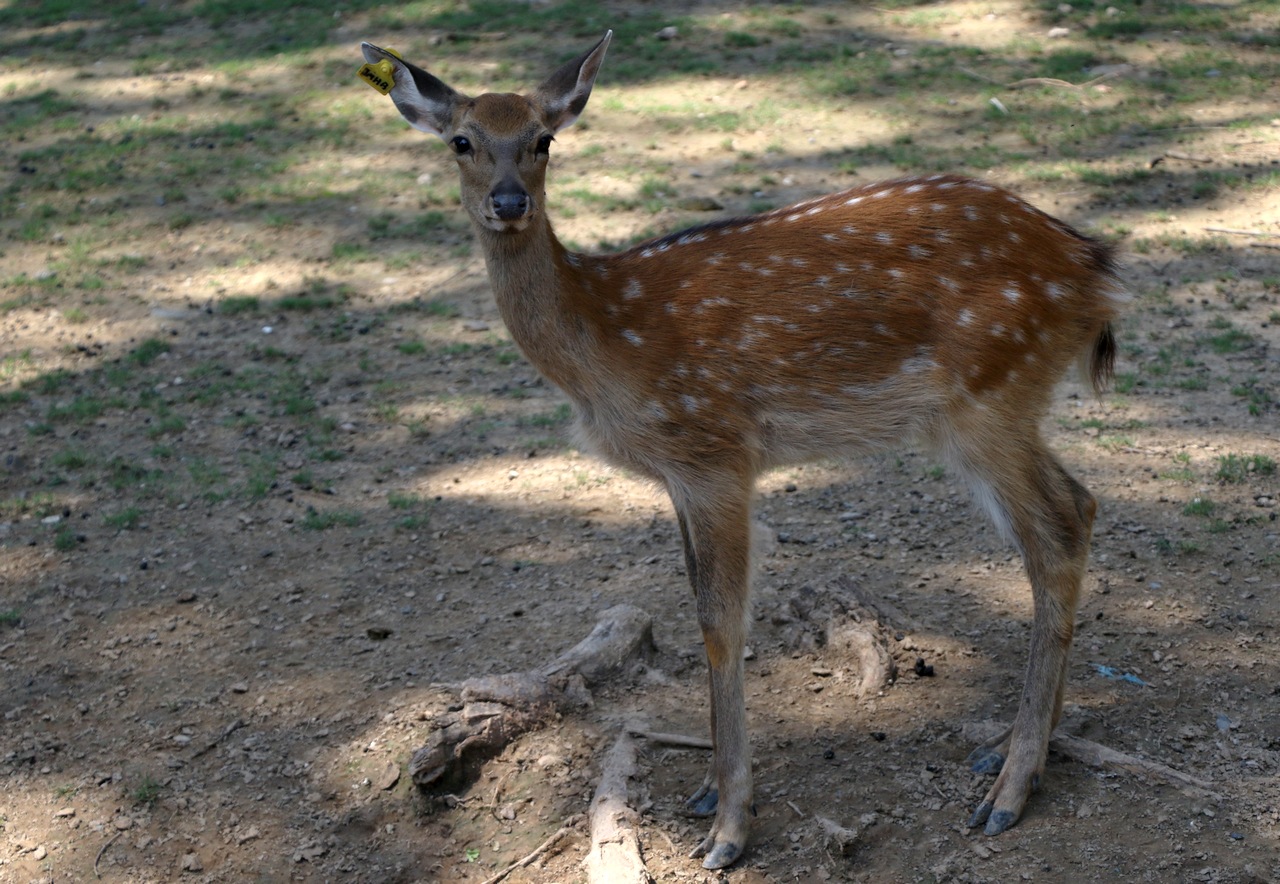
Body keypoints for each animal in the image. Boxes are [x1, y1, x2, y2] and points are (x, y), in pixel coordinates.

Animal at [359, 32, 1126, 869]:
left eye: (542, 140)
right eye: (461, 141)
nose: (507, 202)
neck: (604, 343)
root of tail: (1094, 268)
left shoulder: (714, 451)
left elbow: (719, 622)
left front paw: (729, 826)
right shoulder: (676, 474)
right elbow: (703, 603)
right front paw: (705, 794)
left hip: (991, 395)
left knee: (1059, 528)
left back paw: (1010, 789)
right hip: (998, 406)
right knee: (1079, 506)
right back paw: (1017, 754)